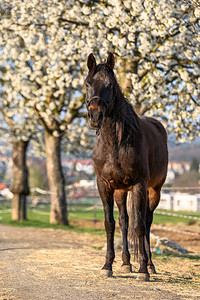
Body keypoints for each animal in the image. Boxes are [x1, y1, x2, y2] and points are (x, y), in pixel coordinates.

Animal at [85, 52, 168, 280]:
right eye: (87, 84)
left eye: (110, 85)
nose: (95, 116)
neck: (116, 143)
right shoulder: (104, 185)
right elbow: (110, 223)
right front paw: (108, 266)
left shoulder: (139, 185)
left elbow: (139, 226)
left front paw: (143, 271)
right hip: (121, 191)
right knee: (124, 221)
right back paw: (125, 263)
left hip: (153, 191)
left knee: (147, 222)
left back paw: (149, 265)